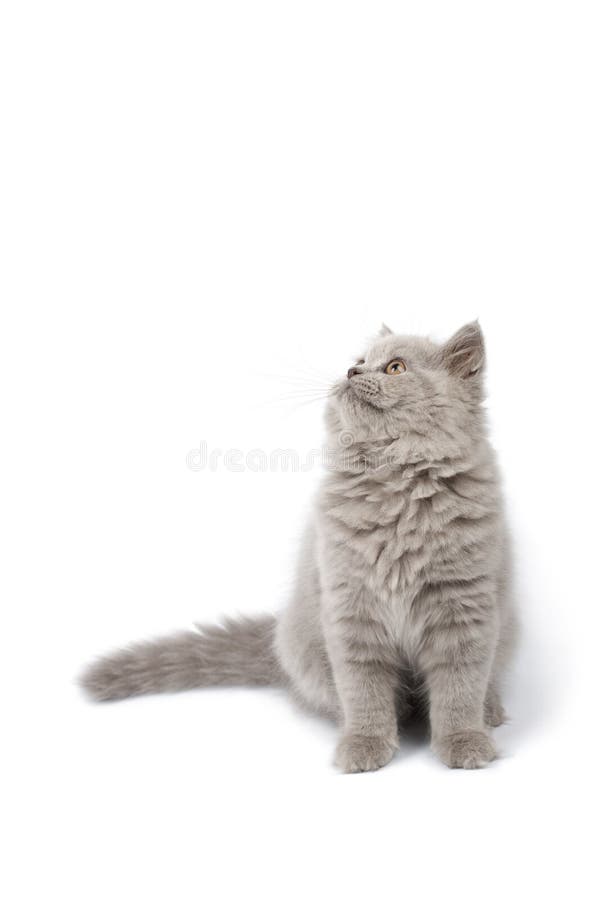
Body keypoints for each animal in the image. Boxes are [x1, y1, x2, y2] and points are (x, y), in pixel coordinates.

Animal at [82, 324, 516, 772]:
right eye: (359, 361)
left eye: (395, 367)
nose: (351, 372)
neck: (396, 487)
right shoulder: (350, 609)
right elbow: (363, 691)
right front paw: (364, 744)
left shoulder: (464, 608)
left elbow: (459, 688)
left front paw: (464, 741)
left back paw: (489, 712)